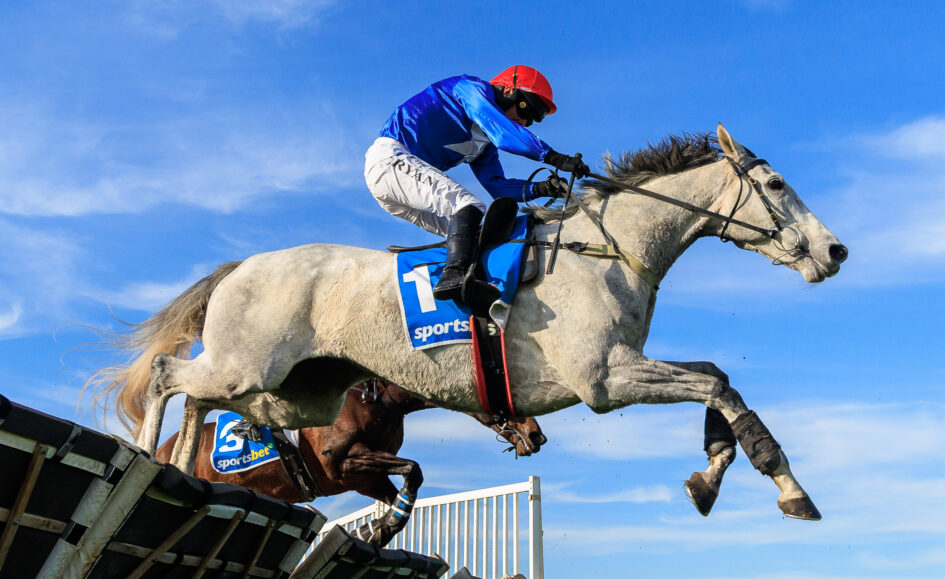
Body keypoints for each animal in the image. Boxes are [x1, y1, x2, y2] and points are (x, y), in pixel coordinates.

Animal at [95, 124, 847, 521]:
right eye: (775, 185)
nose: (834, 250)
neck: (606, 250)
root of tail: (239, 267)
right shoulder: (606, 379)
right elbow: (718, 385)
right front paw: (788, 486)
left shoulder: (623, 370)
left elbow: (717, 379)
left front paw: (708, 478)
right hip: (247, 366)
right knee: (166, 374)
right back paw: (148, 458)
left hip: (294, 393)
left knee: (196, 396)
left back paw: (188, 471)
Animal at [154, 379, 546, 547]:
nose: (537, 435)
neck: (378, 400)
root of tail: (162, 450)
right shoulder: (343, 464)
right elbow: (414, 469)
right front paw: (378, 529)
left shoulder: (363, 477)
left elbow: (406, 489)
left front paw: (378, 529)